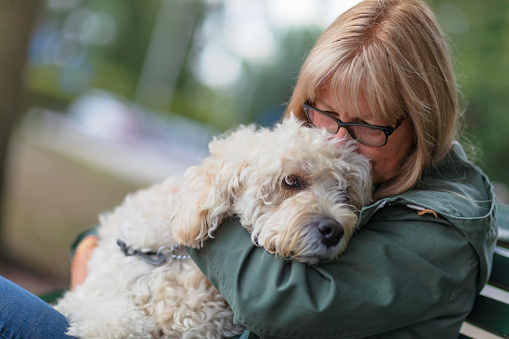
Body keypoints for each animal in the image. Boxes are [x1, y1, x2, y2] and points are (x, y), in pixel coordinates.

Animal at [55, 116, 372, 338]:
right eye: (291, 181)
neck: (180, 258)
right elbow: (113, 321)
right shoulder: (101, 289)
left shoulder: (203, 327)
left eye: (345, 195)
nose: (334, 231)